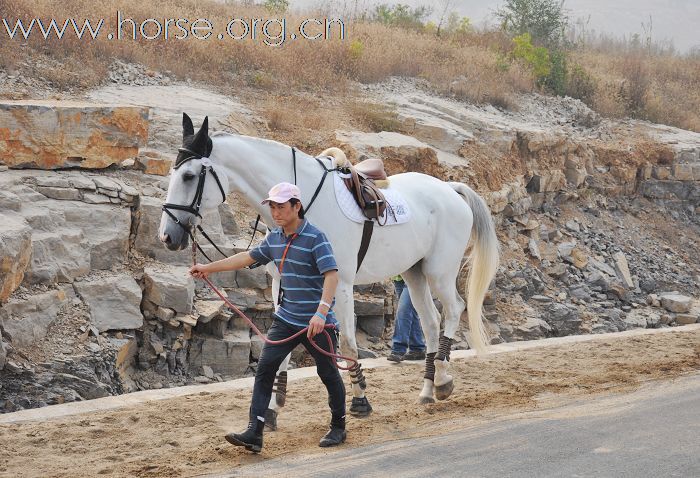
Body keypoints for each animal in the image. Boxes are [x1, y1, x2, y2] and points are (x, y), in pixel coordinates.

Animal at [160, 115, 498, 422]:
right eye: (173, 173)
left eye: (189, 176)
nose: (167, 236)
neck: (302, 204)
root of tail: (450, 189)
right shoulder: (282, 285)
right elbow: (280, 343)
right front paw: (273, 408)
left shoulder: (342, 284)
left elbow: (347, 345)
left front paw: (360, 400)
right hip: (414, 273)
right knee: (430, 322)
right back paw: (428, 389)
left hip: (439, 272)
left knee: (454, 309)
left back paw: (442, 380)